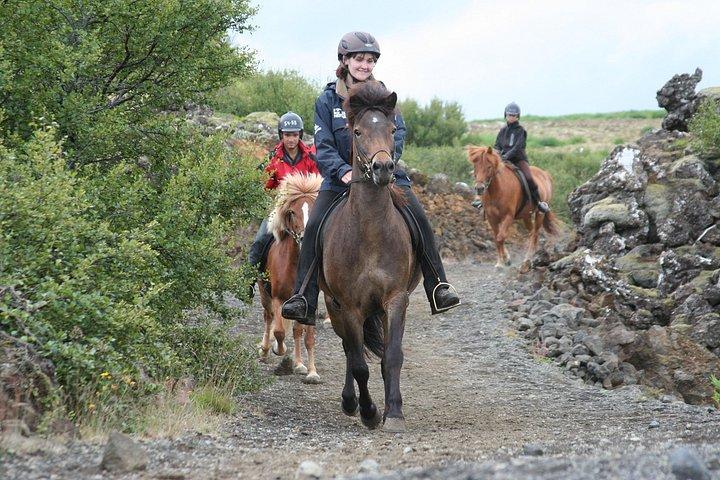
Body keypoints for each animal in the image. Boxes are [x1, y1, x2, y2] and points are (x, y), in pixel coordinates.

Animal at [258, 172, 323, 384]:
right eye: (292, 212)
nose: (304, 238)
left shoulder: (308, 303)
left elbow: (307, 336)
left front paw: (311, 371)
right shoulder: (278, 298)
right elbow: (279, 332)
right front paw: (278, 350)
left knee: (296, 330)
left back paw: (299, 364)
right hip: (264, 292)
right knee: (268, 317)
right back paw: (265, 350)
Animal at [319, 81, 421, 433]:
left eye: (392, 129)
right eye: (357, 131)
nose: (383, 168)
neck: (371, 234)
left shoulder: (396, 299)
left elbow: (392, 356)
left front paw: (394, 412)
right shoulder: (348, 306)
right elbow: (359, 364)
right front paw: (369, 412)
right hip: (334, 307)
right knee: (351, 352)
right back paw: (351, 402)